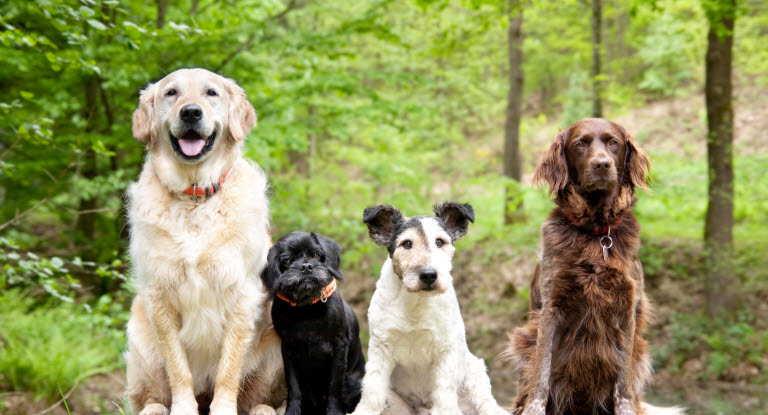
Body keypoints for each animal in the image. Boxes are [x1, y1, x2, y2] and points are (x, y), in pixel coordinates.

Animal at [260, 232, 366, 415]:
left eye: (316, 255)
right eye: (288, 261)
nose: (306, 266)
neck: (307, 309)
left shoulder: (339, 348)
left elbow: (334, 386)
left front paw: (334, 412)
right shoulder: (288, 350)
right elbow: (293, 386)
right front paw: (292, 411)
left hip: (353, 383)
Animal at [508, 118, 680, 415]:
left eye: (613, 142)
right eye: (580, 144)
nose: (602, 165)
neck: (596, 233)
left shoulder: (627, 310)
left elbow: (623, 383)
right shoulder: (551, 307)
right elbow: (541, 375)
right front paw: (534, 408)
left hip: (641, 352)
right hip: (523, 340)